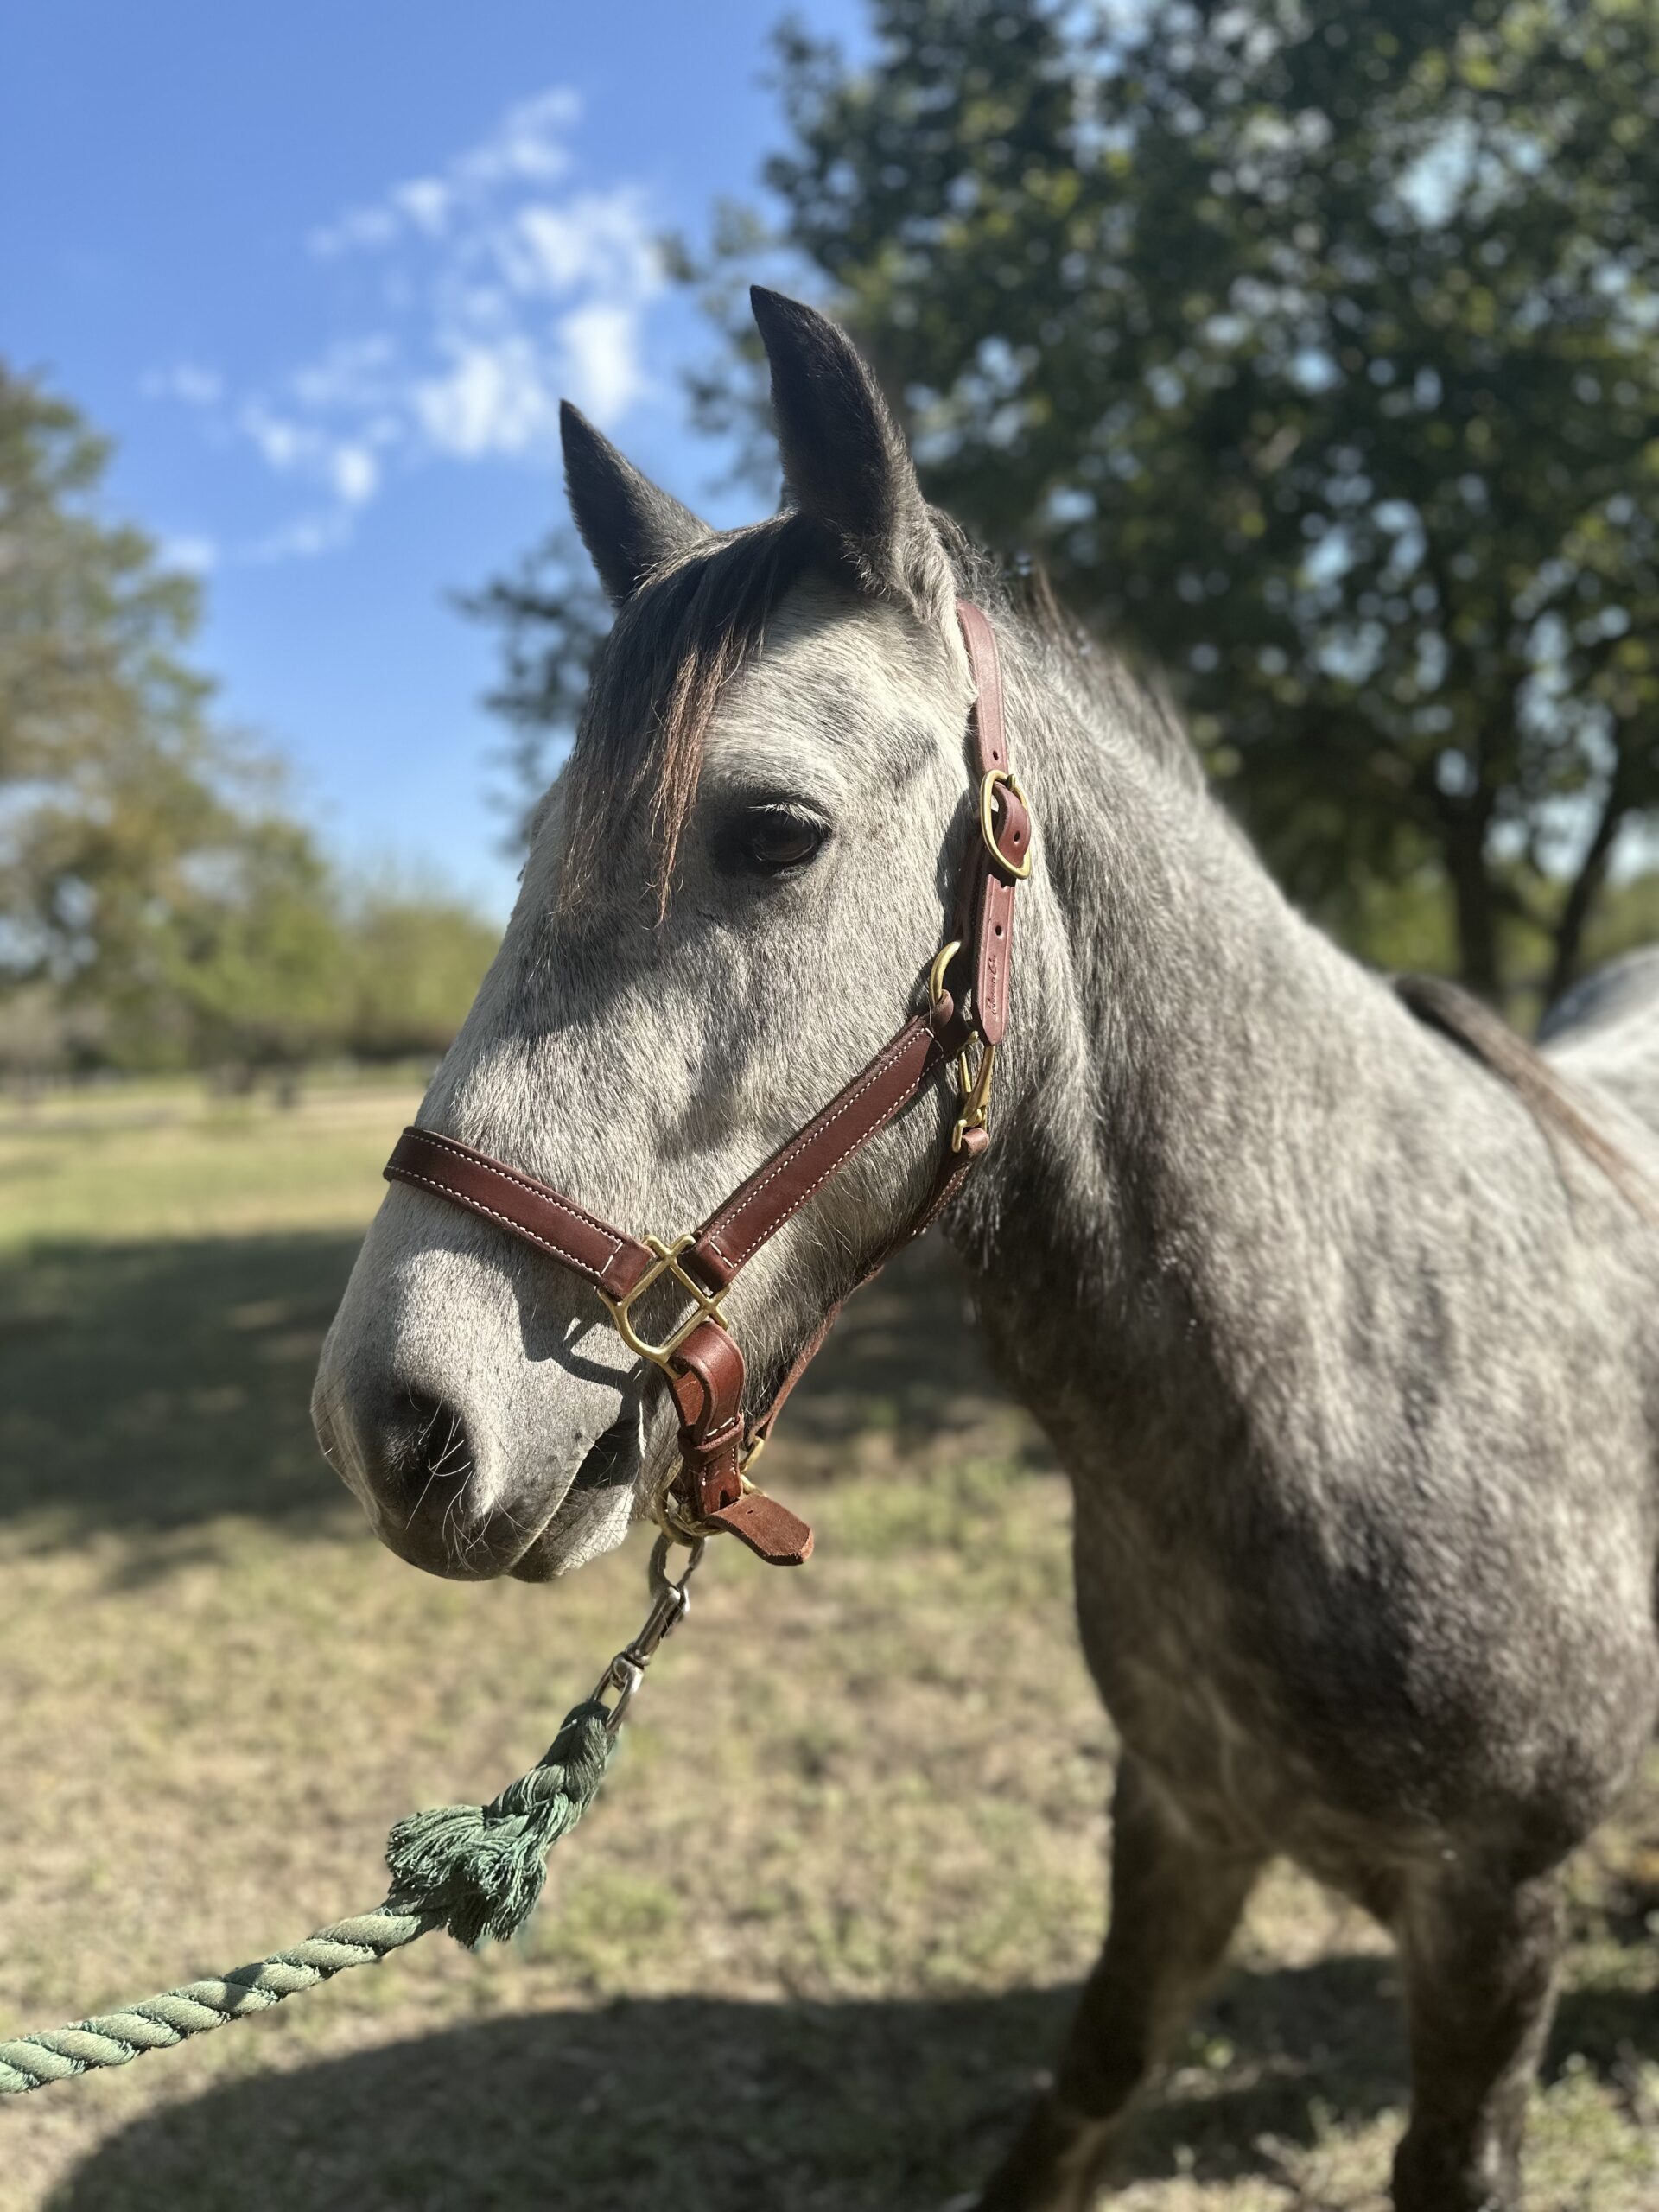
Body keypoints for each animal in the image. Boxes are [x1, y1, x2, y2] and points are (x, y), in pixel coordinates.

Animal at [314, 294, 1659, 2212]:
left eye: (775, 832)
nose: (399, 1420)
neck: (1367, 1370)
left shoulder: (1493, 1923)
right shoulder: (1177, 1820)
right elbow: (1082, 2089)